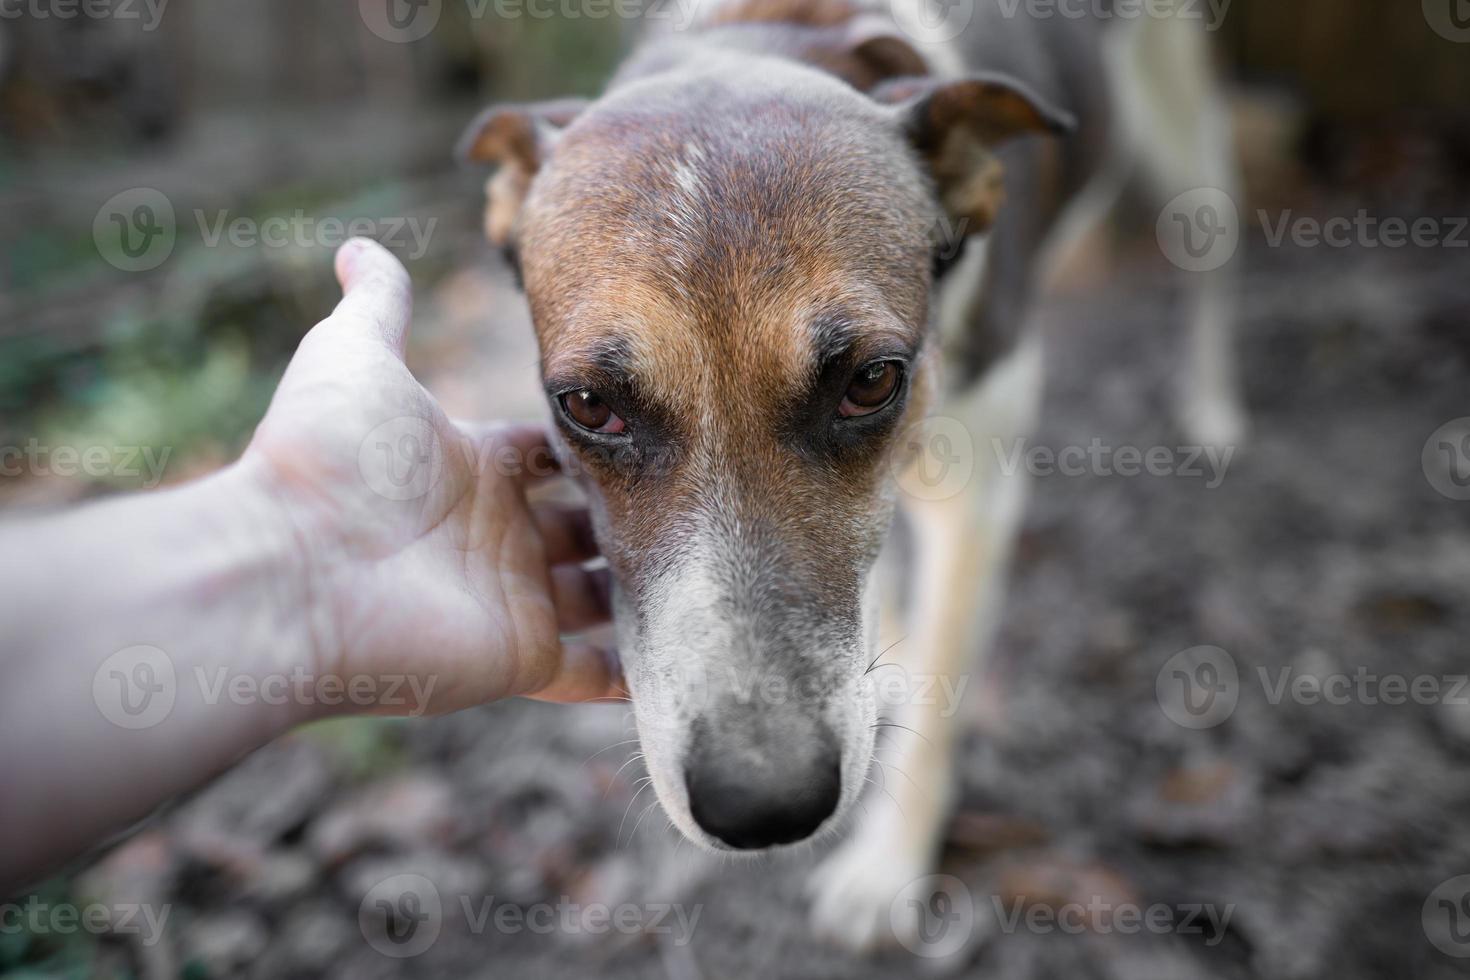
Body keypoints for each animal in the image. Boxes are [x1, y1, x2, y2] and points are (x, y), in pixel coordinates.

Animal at [455, 0, 1240, 952]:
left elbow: (939, 699)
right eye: (587, 404)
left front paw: (888, 867)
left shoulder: (977, 501)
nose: (763, 805)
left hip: (1180, 124)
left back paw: (1214, 405)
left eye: (870, 380)